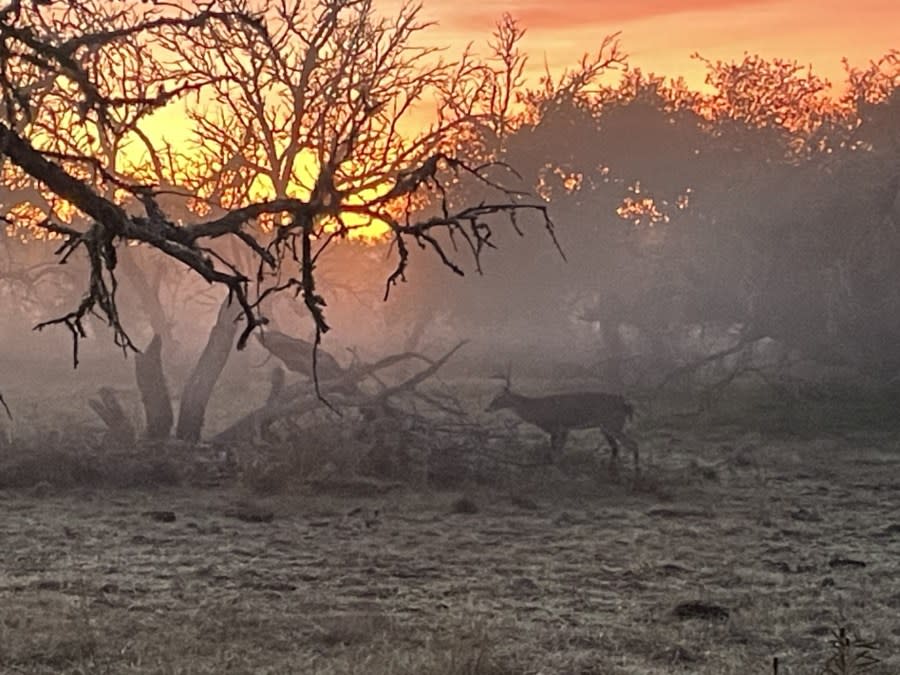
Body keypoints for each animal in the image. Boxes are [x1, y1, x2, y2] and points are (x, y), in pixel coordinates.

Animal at [486, 372, 640, 472]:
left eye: (499, 397)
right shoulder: (564, 429)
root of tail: (626, 404)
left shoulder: (557, 426)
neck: (536, 410)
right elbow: (557, 451)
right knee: (616, 447)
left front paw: (555, 468)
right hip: (606, 427)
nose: (487, 408)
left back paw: (636, 473)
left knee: (632, 443)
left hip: (612, 424)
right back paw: (612, 470)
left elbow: (555, 451)